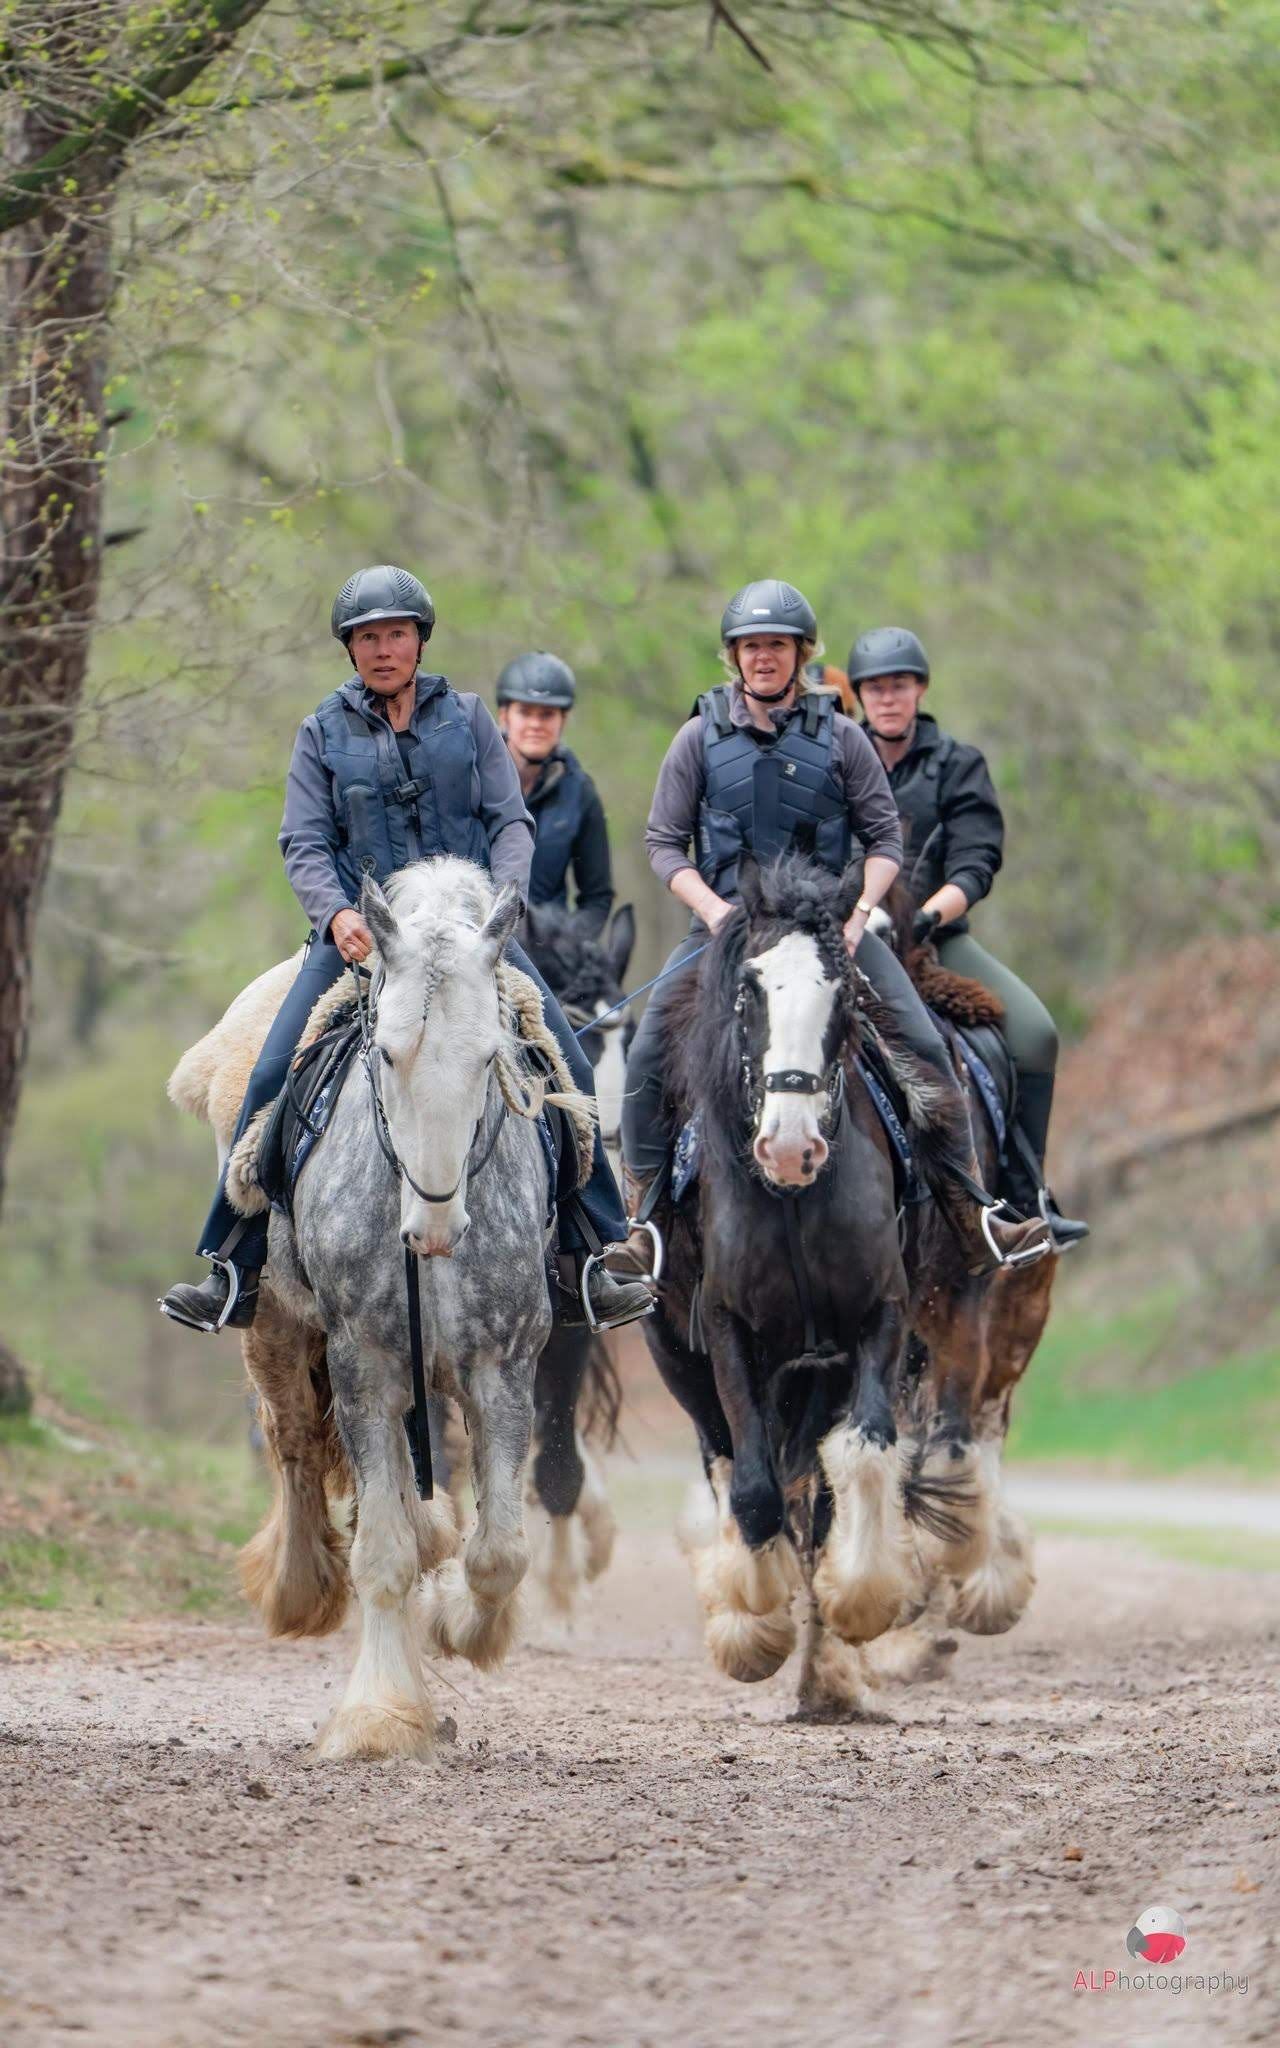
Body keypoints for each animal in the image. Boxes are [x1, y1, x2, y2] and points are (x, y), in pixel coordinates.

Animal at [168, 858, 573, 1760]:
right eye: (385, 1053)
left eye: (490, 1056)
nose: (433, 1229)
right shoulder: (367, 1366)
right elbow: (382, 1553)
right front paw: (382, 1715)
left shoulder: (503, 1367)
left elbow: (499, 1551)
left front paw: (462, 1623)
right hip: (278, 1334)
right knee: (291, 1446)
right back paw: (297, 1586)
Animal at [641, 853, 962, 1719]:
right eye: (749, 992)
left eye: (845, 993)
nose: (790, 1148)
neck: (789, 1201)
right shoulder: (724, 1331)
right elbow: (752, 1490)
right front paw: (752, 1624)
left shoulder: (879, 1321)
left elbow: (866, 1454)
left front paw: (861, 1601)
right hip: (679, 1361)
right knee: (727, 1462)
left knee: (816, 1495)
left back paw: (827, 1674)